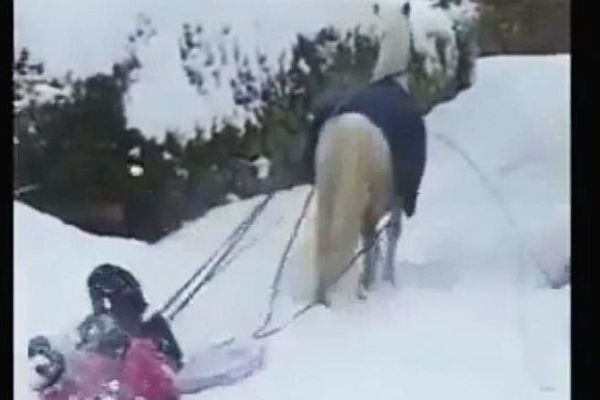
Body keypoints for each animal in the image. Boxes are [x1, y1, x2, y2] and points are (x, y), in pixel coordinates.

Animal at [310, 1, 426, 304]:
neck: (390, 80)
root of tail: (348, 133)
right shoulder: (399, 194)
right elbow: (393, 234)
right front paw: (388, 281)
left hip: (329, 191)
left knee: (329, 244)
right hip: (370, 193)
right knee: (369, 237)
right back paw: (368, 285)